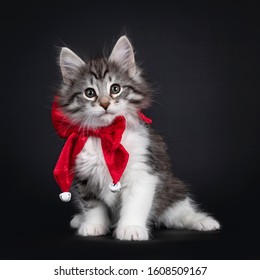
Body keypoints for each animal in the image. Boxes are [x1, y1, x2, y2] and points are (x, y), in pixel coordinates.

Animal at [54, 35, 219, 241]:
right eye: (89, 93)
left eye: (115, 88)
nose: (105, 104)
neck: (107, 135)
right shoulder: (84, 177)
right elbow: (92, 206)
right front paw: (93, 226)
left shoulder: (143, 172)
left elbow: (135, 205)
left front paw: (131, 229)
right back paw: (80, 219)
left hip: (173, 189)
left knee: (181, 212)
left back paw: (203, 221)